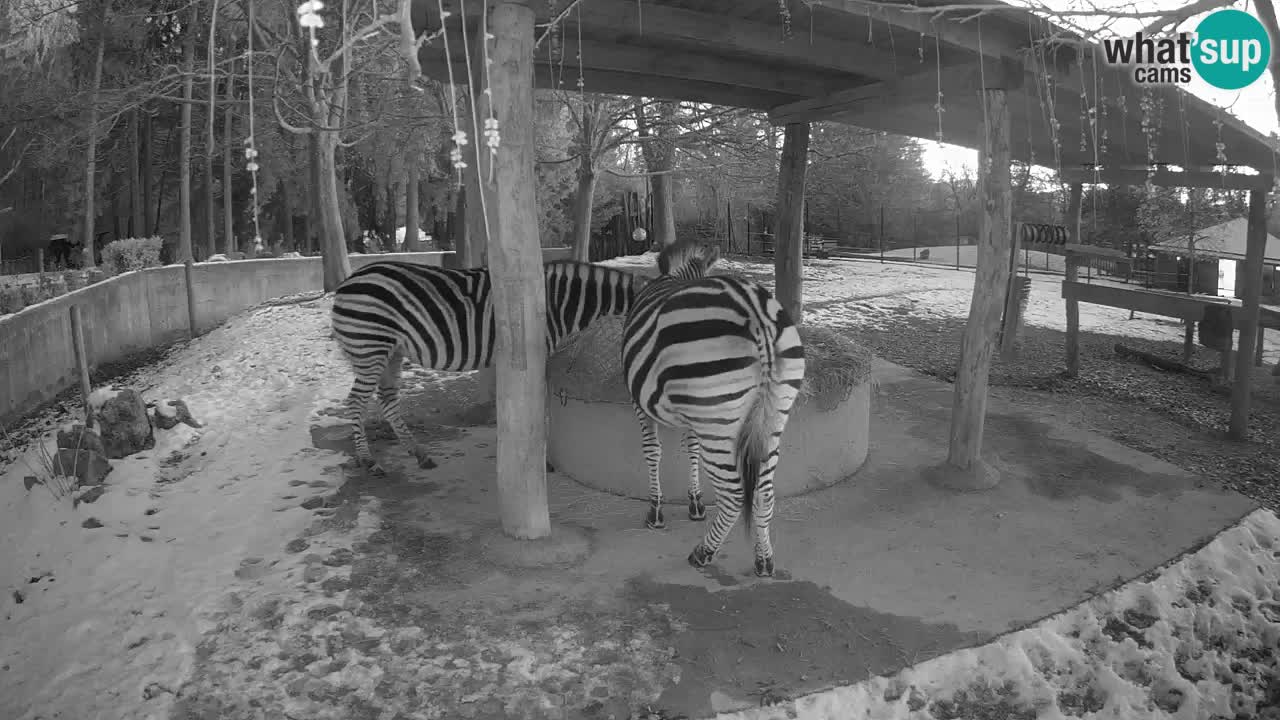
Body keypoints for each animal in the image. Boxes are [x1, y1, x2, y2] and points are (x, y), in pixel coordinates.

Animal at [332, 256, 650, 471]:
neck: (563, 304)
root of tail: (347, 281)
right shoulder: (539, 354)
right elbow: (542, 407)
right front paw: (542, 460)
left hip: (392, 351)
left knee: (387, 399)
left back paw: (419, 453)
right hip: (370, 347)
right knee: (355, 401)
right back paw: (368, 460)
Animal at [622, 238, 808, 573]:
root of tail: (756, 315)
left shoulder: (640, 404)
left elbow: (652, 452)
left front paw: (655, 511)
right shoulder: (693, 414)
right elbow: (691, 449)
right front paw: (695, 502)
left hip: (719, 423)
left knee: (734, 495)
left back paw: (703, 553)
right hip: (771, 417)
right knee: (764, 494)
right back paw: (764, 559)